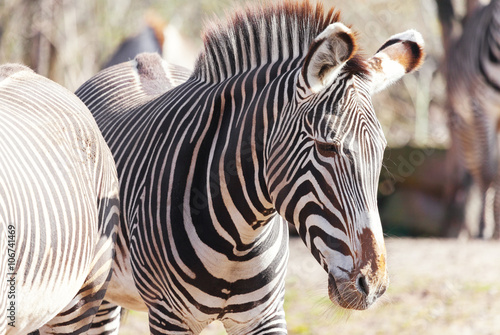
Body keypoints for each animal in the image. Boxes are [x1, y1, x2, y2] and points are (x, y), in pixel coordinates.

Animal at [76, 1, 424, 334]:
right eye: (327, 147)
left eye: (381, 151)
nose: (373, 285)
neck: (240, 241)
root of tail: (137, 60)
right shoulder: (169, 316)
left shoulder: (264, 316)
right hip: (96, 295)